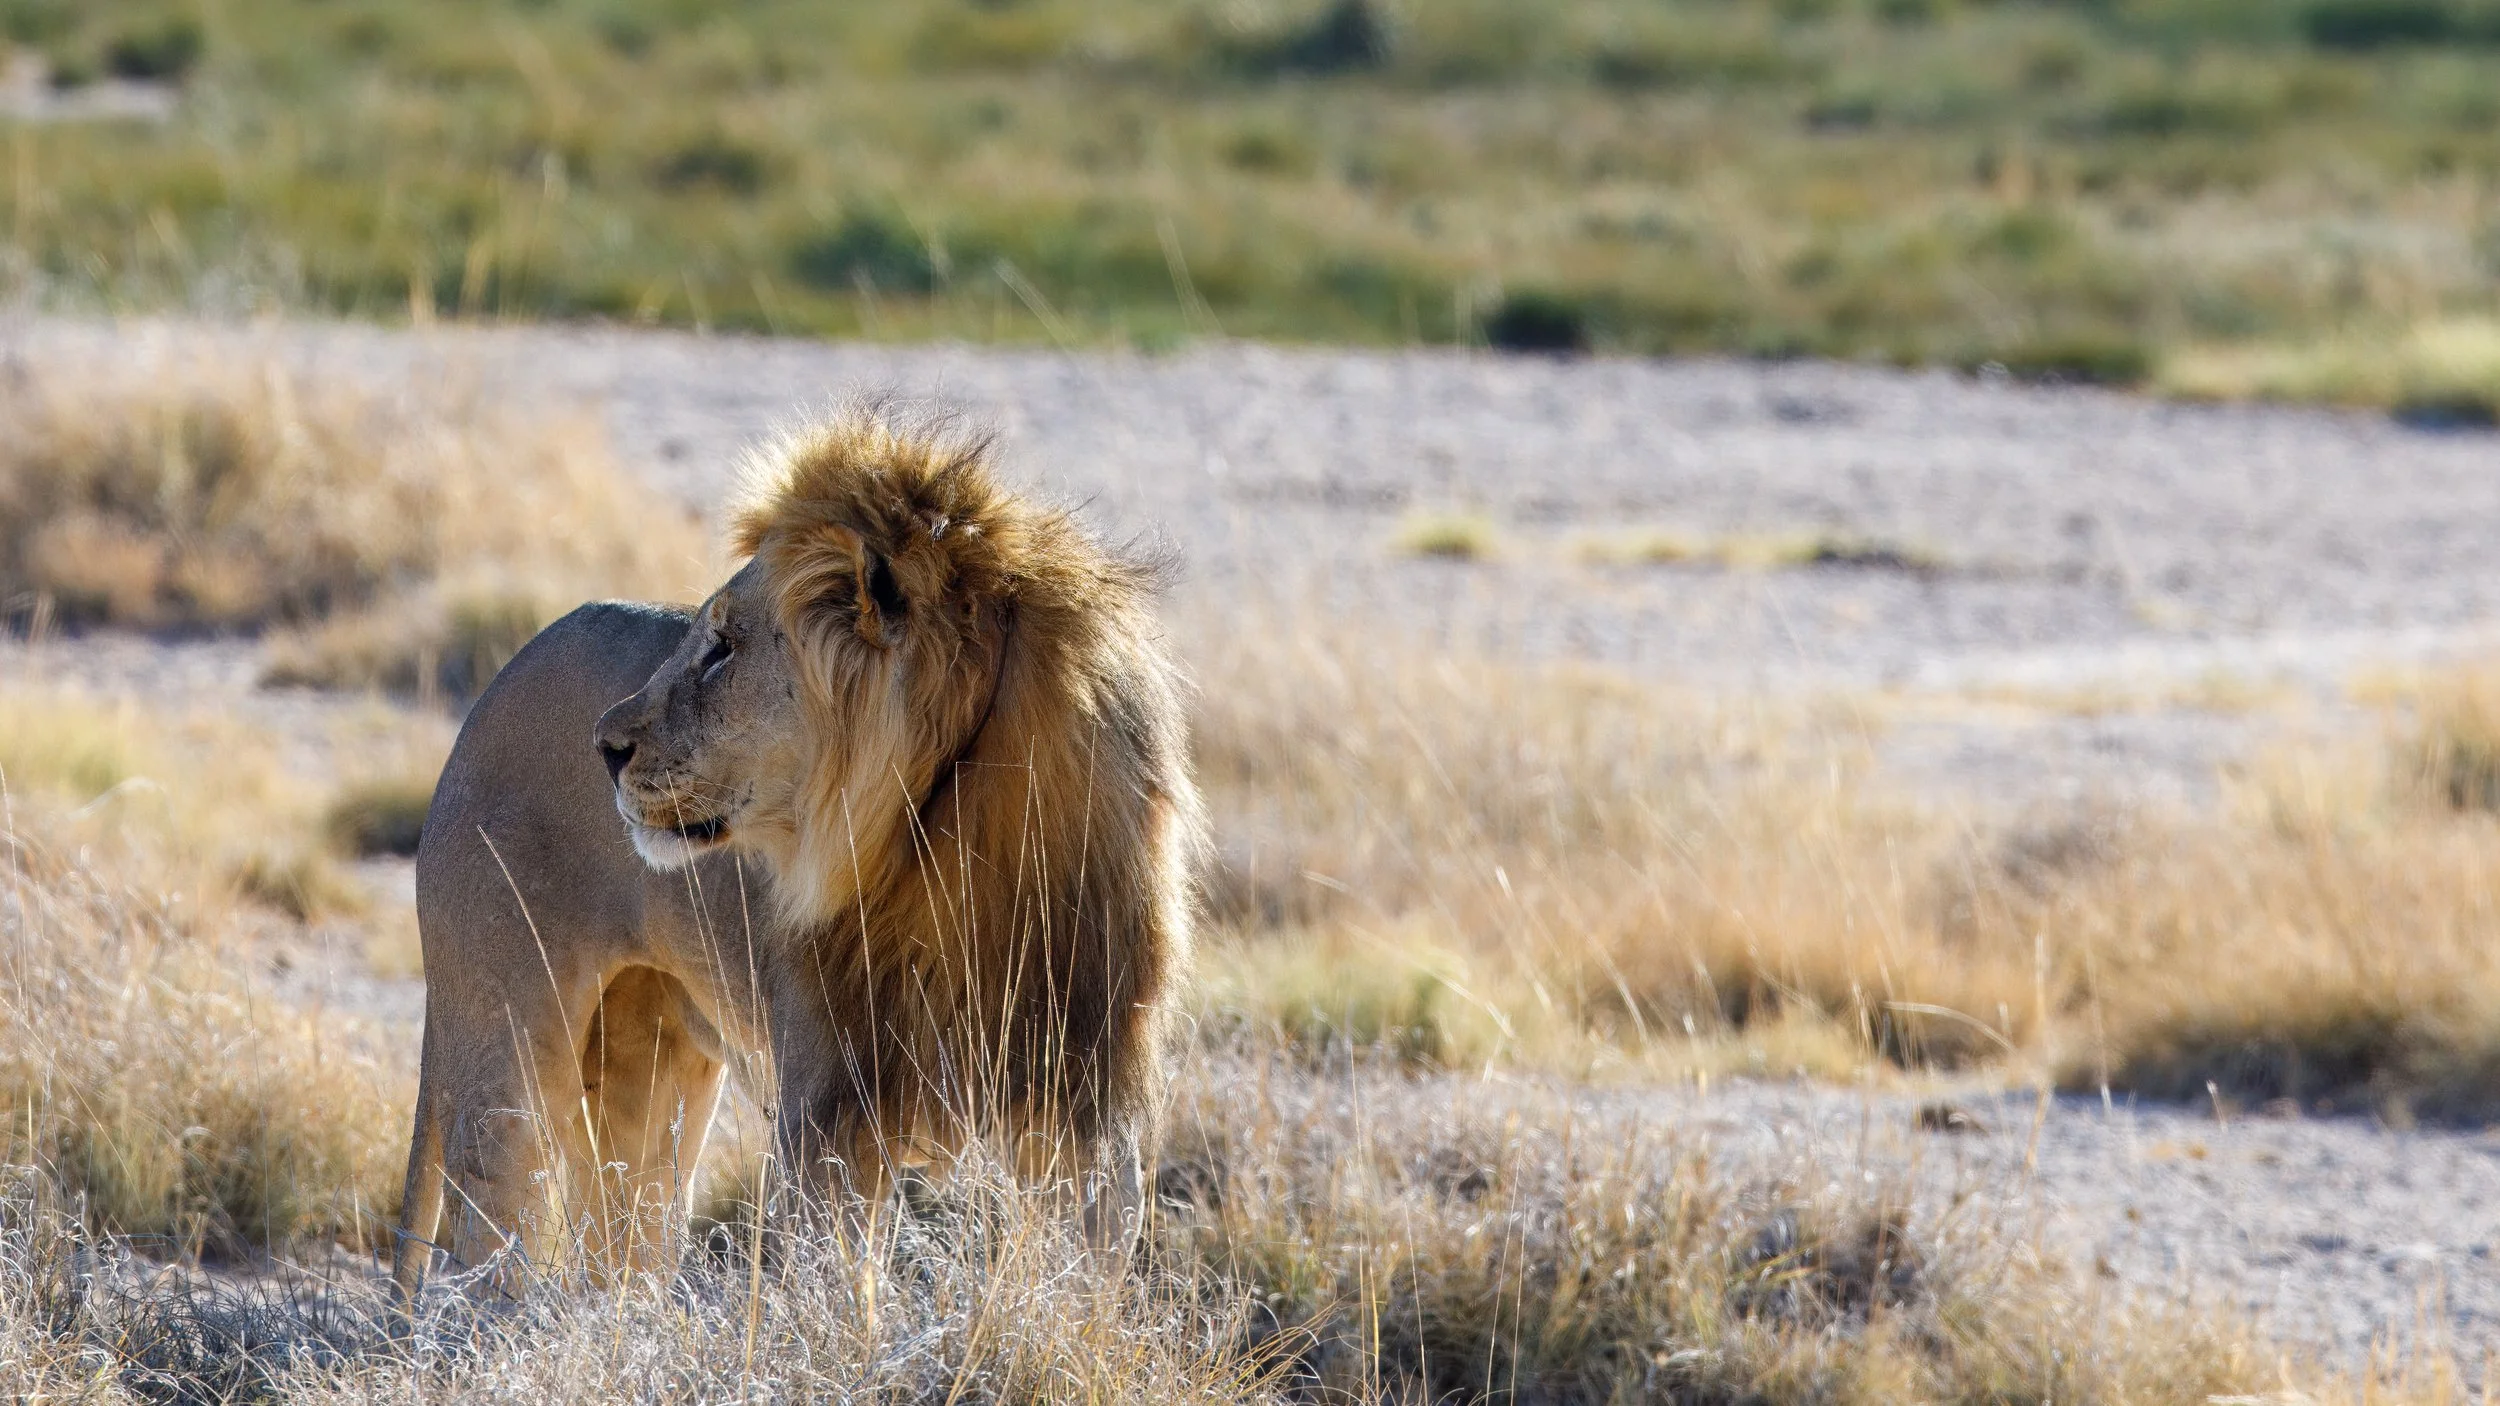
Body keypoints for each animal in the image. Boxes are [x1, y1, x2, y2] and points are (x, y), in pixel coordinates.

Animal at [392, 412, 1202, 1293]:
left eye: (721, 647)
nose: (603, 746)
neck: (957, 843)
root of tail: (486, 697)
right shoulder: (830, 1110)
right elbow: (840, 1291)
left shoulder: (1088, 1106)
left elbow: (1085, 1280)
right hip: (507, 1057)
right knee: (482, 1254)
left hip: (654, 1081)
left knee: (625, 1244)